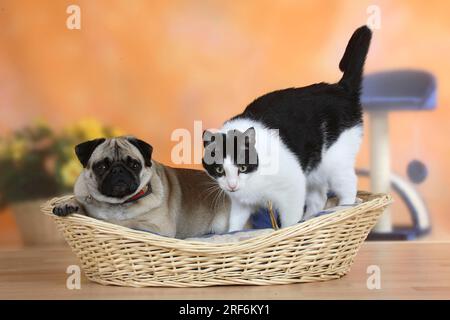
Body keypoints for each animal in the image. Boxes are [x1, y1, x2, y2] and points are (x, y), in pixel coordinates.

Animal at [52, 136, 232, 239]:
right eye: (101, 167)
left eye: (134, 165)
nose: (118, 170)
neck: (118, 204)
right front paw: (67, 204)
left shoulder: (160, 228)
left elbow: (130, 223)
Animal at [202, 25, 370, 230]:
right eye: (219, 170)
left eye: (242, 167)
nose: (232, 185)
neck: (254, 178)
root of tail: (340, 88)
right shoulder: (240, 203)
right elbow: (235, 224)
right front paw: (232, 234)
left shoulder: (293, 188)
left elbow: (290, 221)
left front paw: (291, 231)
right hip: (314, 170)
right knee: (319, 197)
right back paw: (311, 217)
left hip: (336, 163)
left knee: (348, 186)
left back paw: (343, 208)